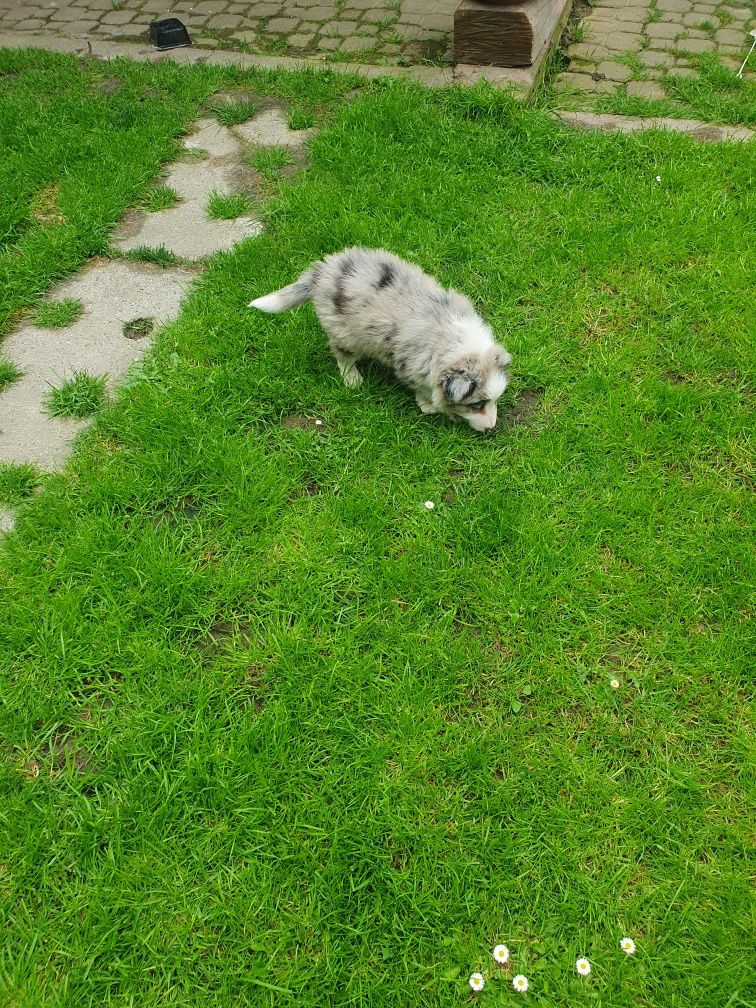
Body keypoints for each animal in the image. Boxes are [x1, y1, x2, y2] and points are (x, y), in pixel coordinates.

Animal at [252, 247, 512, 433]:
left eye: (493, 400)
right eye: (476, 405)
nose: (491, 429)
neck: (454, 341)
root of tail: (323, 271)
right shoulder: (413, 365)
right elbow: (423, 388)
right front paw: (429, 406)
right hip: (345, 332)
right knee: (342, 355)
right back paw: (353, 379)